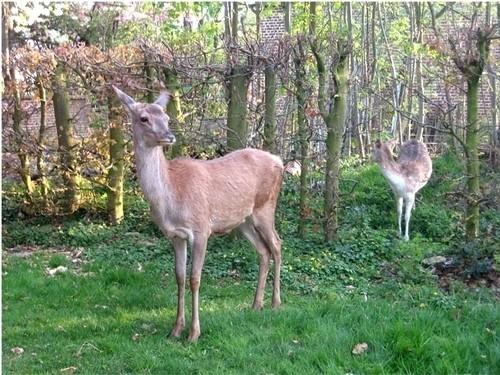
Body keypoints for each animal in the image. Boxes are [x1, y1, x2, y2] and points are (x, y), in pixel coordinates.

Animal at [114, 86, 286, 342]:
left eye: (167, 118)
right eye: (143, 118)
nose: (169, 136)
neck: (172, 197)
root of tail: (280, 160)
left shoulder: (201, 229)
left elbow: (195, 279)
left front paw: (194, 333)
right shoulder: (175, 235)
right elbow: (179, 277)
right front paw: (175, 329)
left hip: (265, 206)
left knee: (276, 244)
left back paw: (275, 303)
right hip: (242, 220)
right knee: (263, 251)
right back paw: (256, 304)